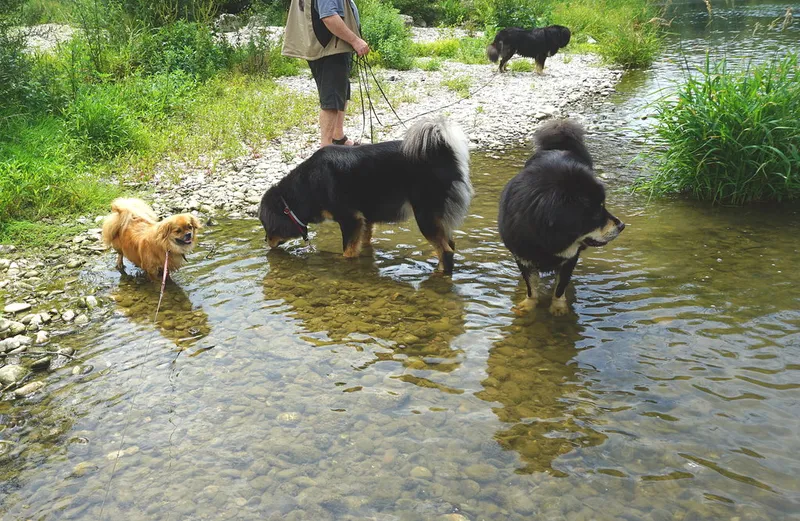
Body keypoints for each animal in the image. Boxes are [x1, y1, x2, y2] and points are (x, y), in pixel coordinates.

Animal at [259, 117, 472, 274]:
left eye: (266, 225)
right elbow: (364, 242)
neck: (307, 185)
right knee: (450, 244)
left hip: (425, 216)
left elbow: (347, 251)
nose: (266, 242)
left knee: (446, 251)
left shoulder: (351, 219)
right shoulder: (365, 219)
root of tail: (445, 153)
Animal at [498, 120, 625, 316]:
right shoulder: (522, 257)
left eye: (603, 205)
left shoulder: (570, 258)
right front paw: (528, 304)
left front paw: (558, 307)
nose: (622, 225)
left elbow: (560, 287)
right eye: (596, 213)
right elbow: (531, 287)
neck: (544, 236)